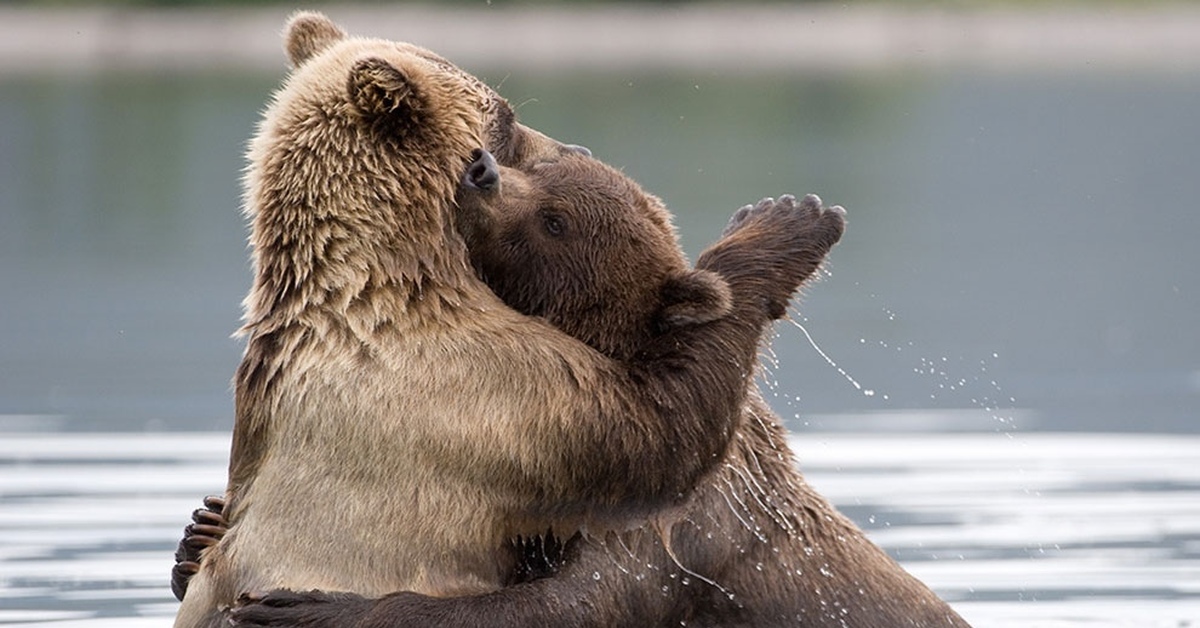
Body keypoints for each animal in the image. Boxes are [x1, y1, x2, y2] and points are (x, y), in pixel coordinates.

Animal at [171, 13, 835, 628]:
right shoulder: (495, 397)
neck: (409, 277)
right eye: (509, 119)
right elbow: (660, 438)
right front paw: (780, 233)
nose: (577, 150)